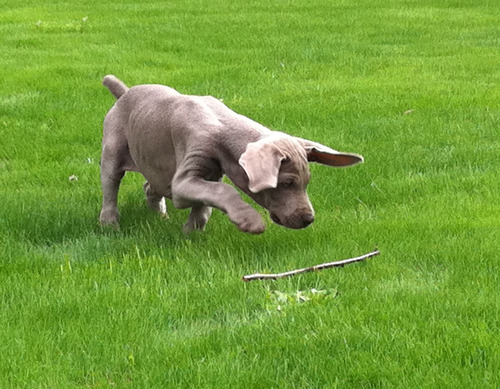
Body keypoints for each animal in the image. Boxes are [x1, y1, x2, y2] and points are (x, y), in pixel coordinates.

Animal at [98, 76, 364, 233]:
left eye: (306, 183)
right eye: (286, 183)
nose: (308, 219)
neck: (223, 125)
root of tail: (125, 92)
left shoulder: (212, 173)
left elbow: (205, 202)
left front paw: (191, 232)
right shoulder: (185, 180)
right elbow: (222, 191)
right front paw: (249, 220)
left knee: (151, 184)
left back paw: (158, 213)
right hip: (113, 150)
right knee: (111, 187)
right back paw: (109, 223)